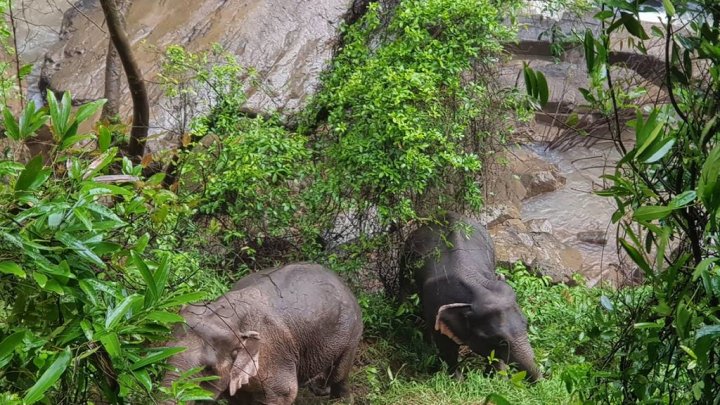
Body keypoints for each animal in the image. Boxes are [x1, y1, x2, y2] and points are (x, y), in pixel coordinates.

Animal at [164, 264, 366, 402]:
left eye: (208, 369)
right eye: (165, 355)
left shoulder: (273, 355)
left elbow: (285, 392)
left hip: (352, 332)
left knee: (340, 372)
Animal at [400, 213, 540, 380]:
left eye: (526, 324)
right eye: (500, 341)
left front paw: (495, 377)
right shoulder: (434, 305)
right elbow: (446, 347)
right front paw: (457, 380)